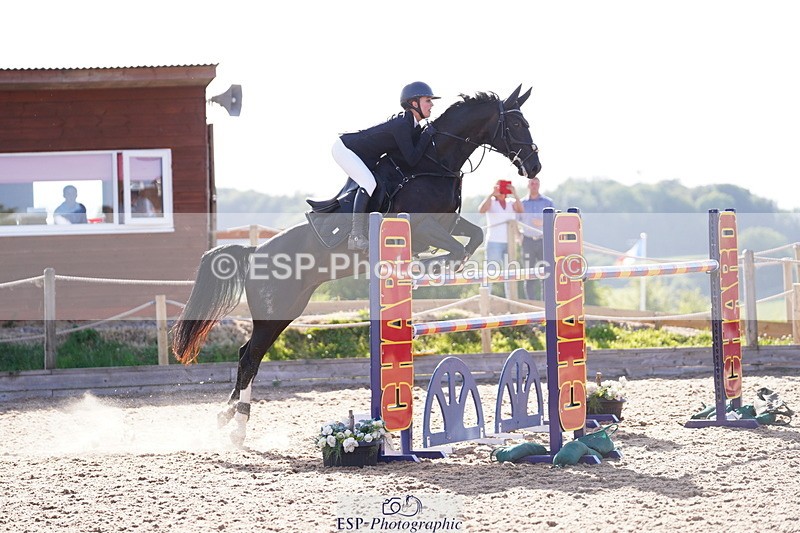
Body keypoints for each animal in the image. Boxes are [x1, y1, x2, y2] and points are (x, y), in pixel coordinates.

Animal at [171, 85, 541, 444]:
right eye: (516, 123)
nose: (535, 167)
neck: (434, 161)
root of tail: (255, 253)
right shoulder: (422, 227)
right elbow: (457, 247)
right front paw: (436, 265)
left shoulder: (447, 223)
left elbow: (474, 236)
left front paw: (439, 264)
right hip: (273, 311)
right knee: (250, 357)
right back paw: (237, 426)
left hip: (286, 310)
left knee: (246, 353)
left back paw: (227, 415)